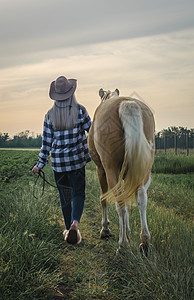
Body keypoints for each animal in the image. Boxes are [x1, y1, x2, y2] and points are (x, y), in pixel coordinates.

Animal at [88, 88, 155, 254]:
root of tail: (128, 104)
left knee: (119, 202)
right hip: (143, 172)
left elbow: (104, 199)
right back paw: (144, 241)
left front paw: (105, 230)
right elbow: (130, 203)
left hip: (110, 170)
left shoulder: (101, 170)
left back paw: (122, 244)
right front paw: (129, 233)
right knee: (141, 198)